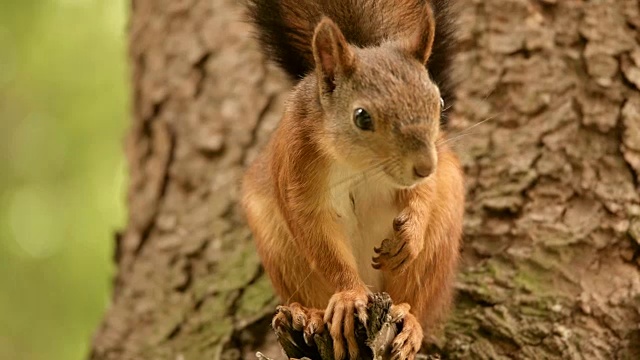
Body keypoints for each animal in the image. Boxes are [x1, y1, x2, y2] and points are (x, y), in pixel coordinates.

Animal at [242, 1, 462, 358]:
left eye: (439, 102)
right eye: (362, 117)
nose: (425, 167)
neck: (361, 166)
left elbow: (423, 195)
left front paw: (411, 232)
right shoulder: (297, 176)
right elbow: (321, 242)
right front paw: (349, 298)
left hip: (438, 241)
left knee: (414, 298)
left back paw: (410, 321)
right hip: (280, 252)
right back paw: (309, 314)